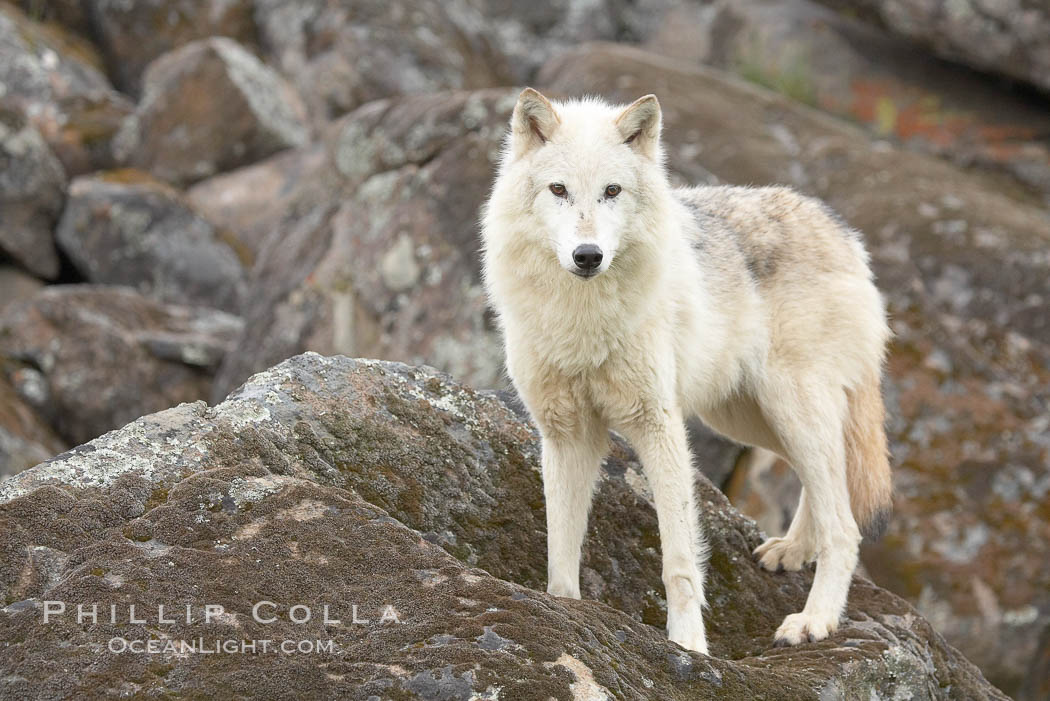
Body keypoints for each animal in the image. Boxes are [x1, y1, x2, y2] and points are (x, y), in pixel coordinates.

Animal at [480, 88, 892, 654]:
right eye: (558, 190)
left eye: (612, 191)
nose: (588, 256)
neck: (583, 319)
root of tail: (843, 232)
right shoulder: (567, 433)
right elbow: (561, 546)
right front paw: (563, 609)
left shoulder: (659, 425)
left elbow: (678, 559)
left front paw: (690, 646)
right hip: (751, 420)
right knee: (829, 484)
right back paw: (791, 550)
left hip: (790, 409)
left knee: (846, 526)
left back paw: (814, 620)